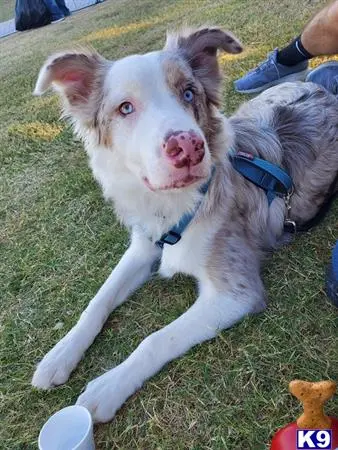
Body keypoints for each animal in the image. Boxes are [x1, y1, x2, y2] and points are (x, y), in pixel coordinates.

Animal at [31, 27, 338, 422]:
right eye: (125, 108)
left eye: (189, 93)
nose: (188, 147)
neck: (175, 208)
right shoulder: (143, 247)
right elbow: (99, 300)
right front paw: (60, 354)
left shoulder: (235, 293)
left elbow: (155, 339)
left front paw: (107, 387)